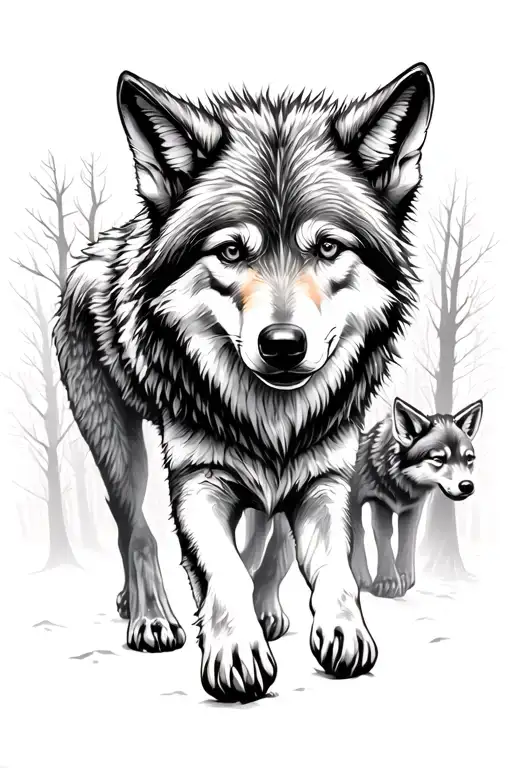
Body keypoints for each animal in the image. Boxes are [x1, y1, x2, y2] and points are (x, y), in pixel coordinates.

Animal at [54, 63, 434, 702]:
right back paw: (150, 615)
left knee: (263, 533)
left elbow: (326, 566)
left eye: (327, 246)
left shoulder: (327, 475)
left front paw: (341, 629)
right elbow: (221, 566)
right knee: (135, 528)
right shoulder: (198, 478)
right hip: (118, 444)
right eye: (231, 250)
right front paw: (235, 649)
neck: (273, 420)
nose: (282, 344)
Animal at [350, 397, 483, 598]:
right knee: (358, 531)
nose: (467, 486)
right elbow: (384, 535)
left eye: (468, 459)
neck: (401, 482)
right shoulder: (379, 502)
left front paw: (405, 579)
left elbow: (407, 537)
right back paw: (361, 577)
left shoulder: (413, 507)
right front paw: (388, 581)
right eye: (438, 459)